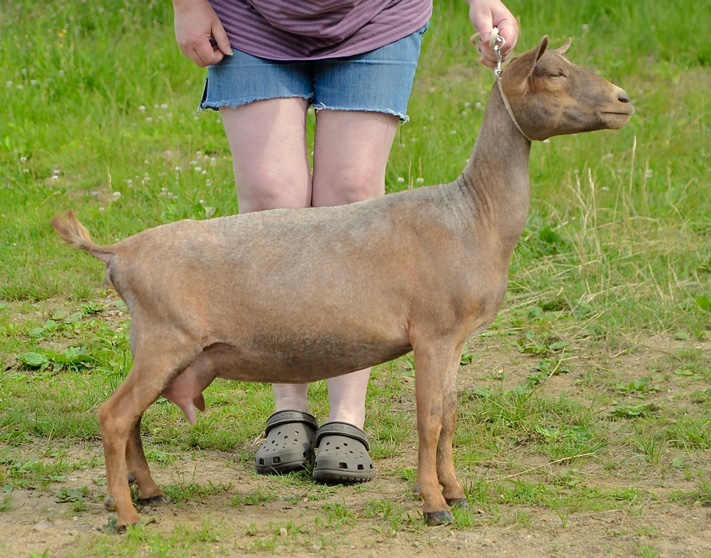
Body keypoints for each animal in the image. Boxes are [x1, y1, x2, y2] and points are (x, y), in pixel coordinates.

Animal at [52, 37, 636, 532]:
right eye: (555, 73)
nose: (624, 100)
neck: (473, 215)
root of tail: (119, 252)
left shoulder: (455, 339)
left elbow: (449, 417)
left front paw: (457, 492)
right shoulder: (433, 332)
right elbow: (428, 421)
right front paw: (434, 506)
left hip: (154, 345)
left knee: (133, 421)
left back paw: (149, 493)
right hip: (164, 339)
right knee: (114, 416)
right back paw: (127, 515)